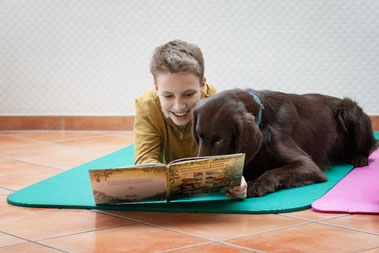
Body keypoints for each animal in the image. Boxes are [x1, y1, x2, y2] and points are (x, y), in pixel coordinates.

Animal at [194, 89, 378, 198]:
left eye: (220, 140)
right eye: (199, 136)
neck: (263, 118)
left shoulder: (308, 165)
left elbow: (273, 171)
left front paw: (256, 185)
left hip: (349, 110)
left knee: (371, 145)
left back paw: (359, 158)